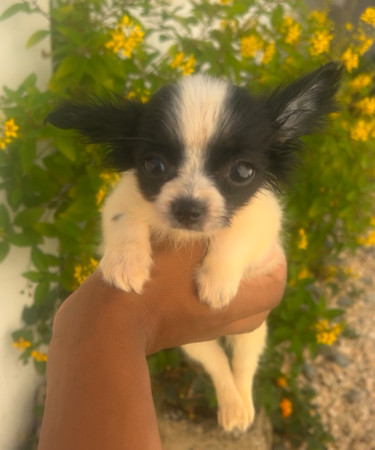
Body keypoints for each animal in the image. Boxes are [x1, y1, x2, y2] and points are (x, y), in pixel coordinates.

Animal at [47, 63, 340, 432]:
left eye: (241, 171)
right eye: (153, 165)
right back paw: (231, 405)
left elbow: (235, 234)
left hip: (253, 332)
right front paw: (125, 265)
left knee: (243, 365)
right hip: (194, 342)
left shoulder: (263, 219)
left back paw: (240, 406)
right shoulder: (122, 198)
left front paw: (217, 280)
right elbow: (123, 219)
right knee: (217, 363)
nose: (188, 208)